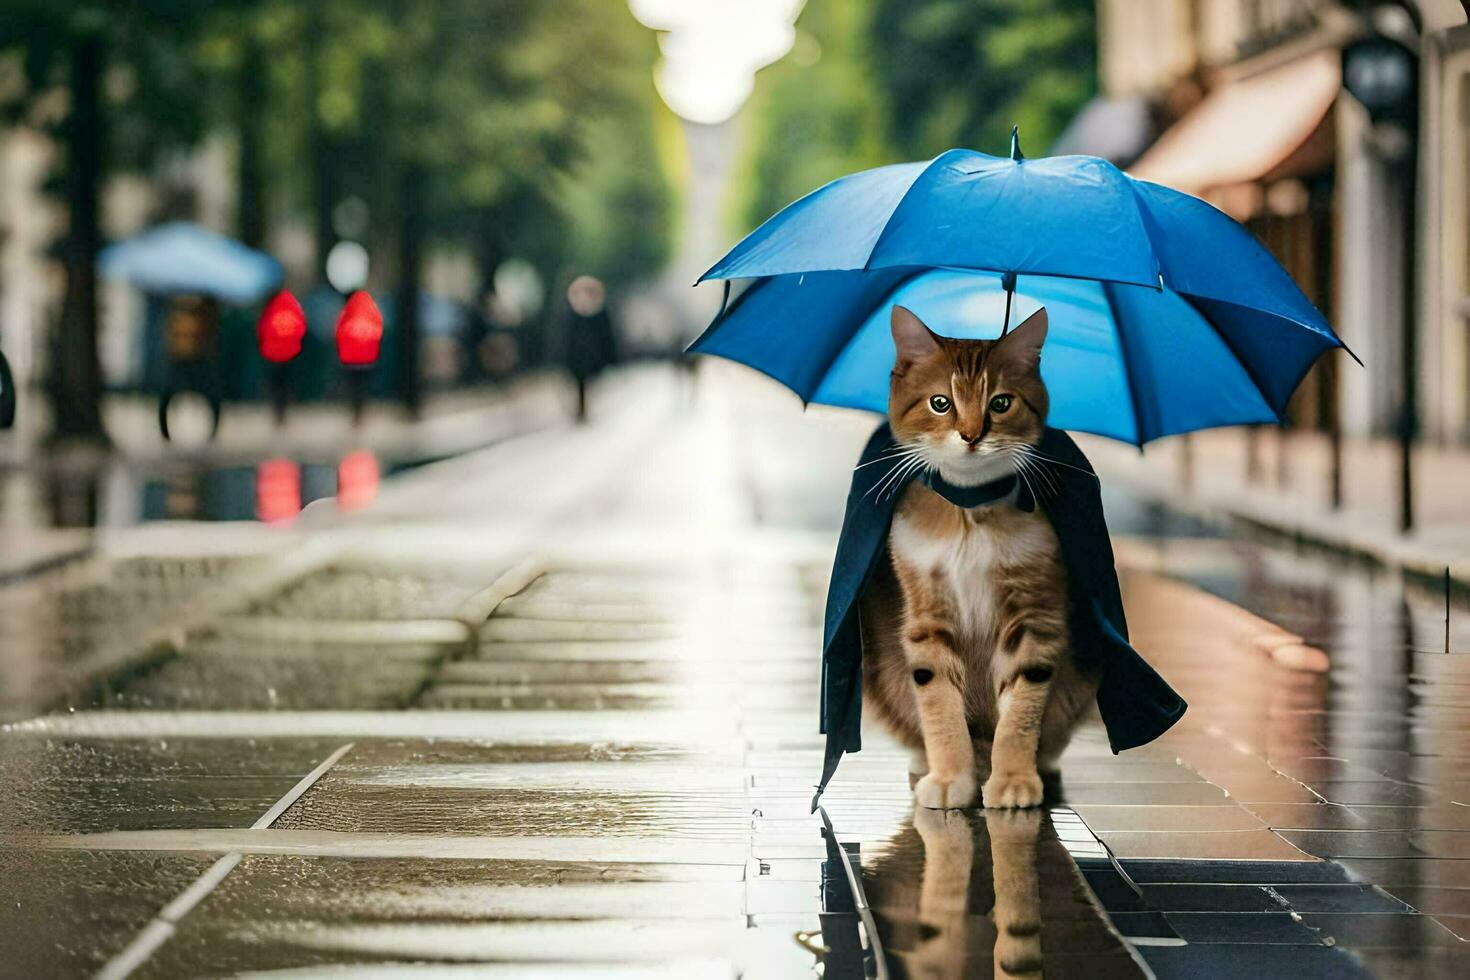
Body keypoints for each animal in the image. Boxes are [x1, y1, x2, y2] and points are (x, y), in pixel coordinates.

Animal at [858, 307, 1099, 811]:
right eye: (940, 403)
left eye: (1001, 403)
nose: (971, 436)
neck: (969, 508)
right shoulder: (927, 615)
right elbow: (938, 704)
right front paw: (951, 775)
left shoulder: (1034, 615)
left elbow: (1021, 713)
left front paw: (1013, 779)